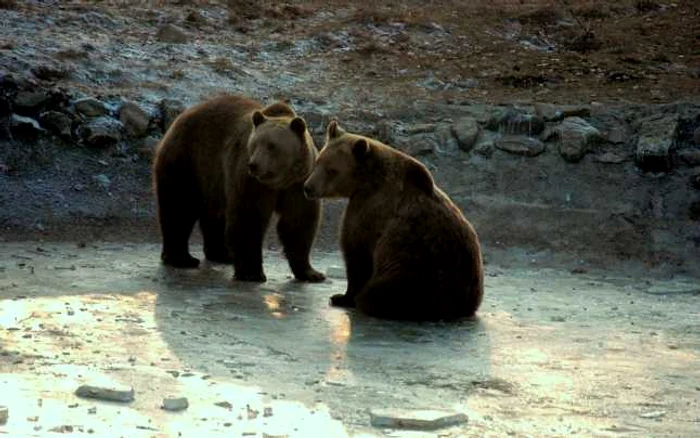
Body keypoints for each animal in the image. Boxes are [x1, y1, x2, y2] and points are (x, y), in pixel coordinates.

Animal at [153, 93, 326, 282]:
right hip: (188, 159)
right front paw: (252, 273)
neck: (279, 180)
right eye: (255, 144)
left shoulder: (299, 184)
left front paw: (312, 273)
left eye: (272, 146)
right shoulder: (251, 181)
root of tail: (182, 115)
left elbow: (298, 222)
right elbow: (249, 218)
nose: (254, 165)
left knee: (214, 213)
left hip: (213, 178)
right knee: (179, 207)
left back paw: (222, 254)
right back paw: (182, 258)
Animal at [304, 121, 484, 320]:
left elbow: (356, 252)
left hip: (416, 270)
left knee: (384, 293)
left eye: (332, 170)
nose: (308, 187)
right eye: (318, 161)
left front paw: (341, 297)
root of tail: (460, 306)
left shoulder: (369, 211)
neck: (366, 182)